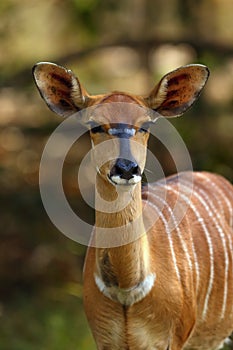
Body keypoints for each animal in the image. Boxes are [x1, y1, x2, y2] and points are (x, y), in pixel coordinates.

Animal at [33, 63, 233, 350]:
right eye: (95, 125)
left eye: (146, 124)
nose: (126, 168)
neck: (126, 288)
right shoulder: (105, 339)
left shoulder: (172, 338)